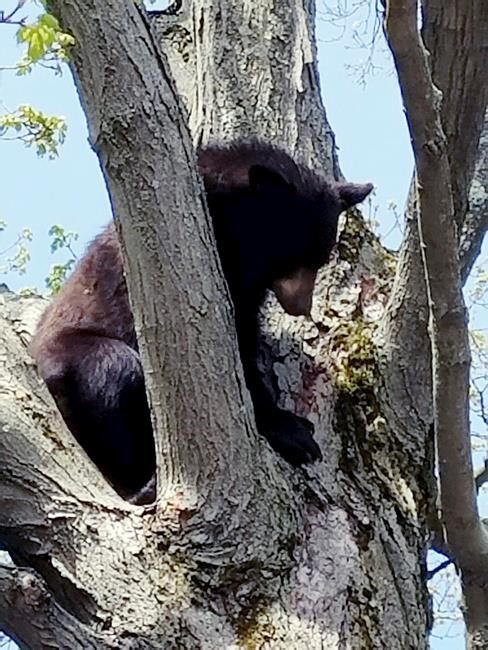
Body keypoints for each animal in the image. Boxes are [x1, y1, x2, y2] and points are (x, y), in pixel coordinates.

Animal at [30, 139, 372, 502]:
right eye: (291, 255)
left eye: (319, 260)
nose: (301, 306)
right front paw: (293, 432)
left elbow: (245, 339)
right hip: (69, 358)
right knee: (117, 370)